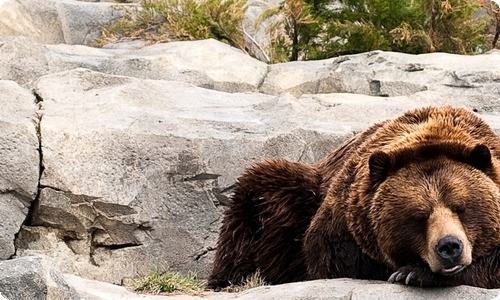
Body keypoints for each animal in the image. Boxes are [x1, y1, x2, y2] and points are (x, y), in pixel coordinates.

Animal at [208, 106, 500, 290]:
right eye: (419, 216)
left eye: (461, 207)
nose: (449, 246)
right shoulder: (343, 215)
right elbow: (332, 256)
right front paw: (408, 271)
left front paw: (414, 272)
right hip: (292, 198)